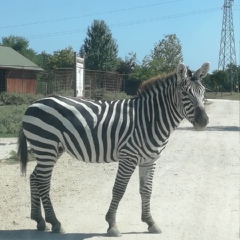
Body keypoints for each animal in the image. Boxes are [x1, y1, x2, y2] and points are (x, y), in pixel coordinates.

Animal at [18, 61, 210, 236]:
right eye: (184, 93)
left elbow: (146, 190)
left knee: (35, 177)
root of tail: (34, 104)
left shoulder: (150, 160)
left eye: (203, 92)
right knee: (43, 181)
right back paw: (55, 222)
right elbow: (119, 190)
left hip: (53, 149)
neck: (150, 119)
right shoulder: (128, 156)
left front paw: (150, 222)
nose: (203, 122)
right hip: (46, 145)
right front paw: (112, 225)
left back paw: (39, 220)